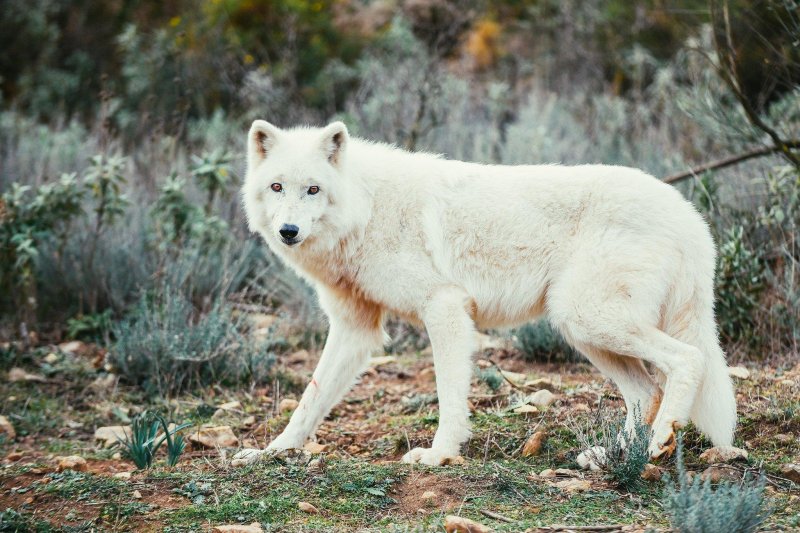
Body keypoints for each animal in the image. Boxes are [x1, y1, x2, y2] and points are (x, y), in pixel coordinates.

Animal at [233, 119, 736, 466]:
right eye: (276, 187)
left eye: (313, 189)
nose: (289, 231)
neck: (367, 209)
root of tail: (689, 216)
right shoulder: (355, 330)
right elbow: (310, 400)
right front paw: (273, 451)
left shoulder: (445, 307)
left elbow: (450, 395)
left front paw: (439, 455)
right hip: (582, 330)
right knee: (645, 392)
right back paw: (613, 457)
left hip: (587, 319)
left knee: (687, 361)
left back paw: (659, 444)